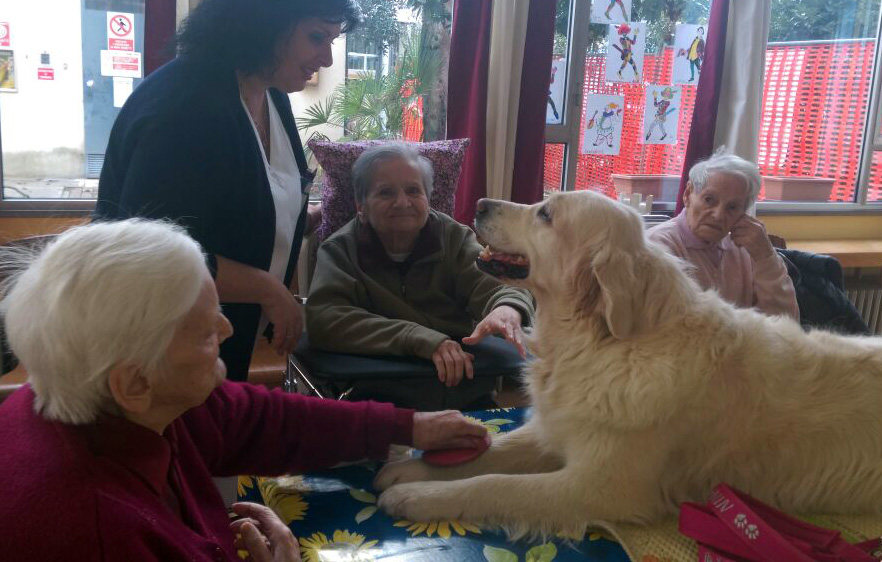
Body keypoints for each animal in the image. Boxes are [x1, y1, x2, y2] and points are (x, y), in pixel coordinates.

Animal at [374, 189, 880, 540]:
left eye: (545, 213)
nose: (479, 203)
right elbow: (491, 451)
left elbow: (494, 484)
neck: (596, 341)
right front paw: (413, 469)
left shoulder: (598, 486)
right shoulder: (559, 428)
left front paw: (416, 496)